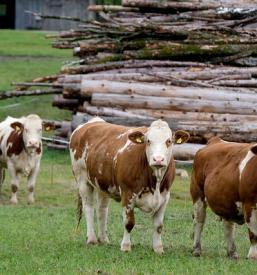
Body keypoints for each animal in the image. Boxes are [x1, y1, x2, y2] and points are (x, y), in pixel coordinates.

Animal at [69, 117, 188, 253]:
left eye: (168, 141)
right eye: (148, 141)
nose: (158, 159)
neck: (155, 183)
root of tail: (92, 121)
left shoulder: (165, 197)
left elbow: (158, 226)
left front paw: (158, 249)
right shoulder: (127, 194)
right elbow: (129, 223)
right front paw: (125, 246)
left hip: (103, 184)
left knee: (102, 210)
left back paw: (104, 239)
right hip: (82, 179)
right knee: (88, 207)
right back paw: (91, 239)